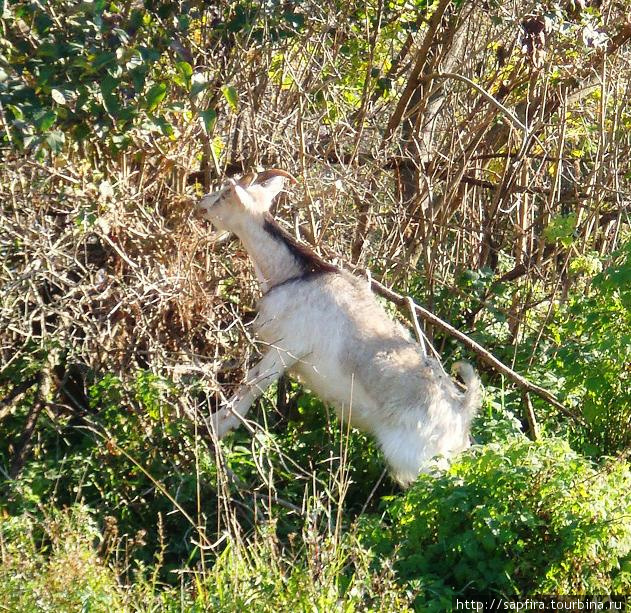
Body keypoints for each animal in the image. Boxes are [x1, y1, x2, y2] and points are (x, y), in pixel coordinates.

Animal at [200, 170, 482, 486]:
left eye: (225, 193)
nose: (201, 204)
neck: (297, 276)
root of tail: (461, 411)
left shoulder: (286, 349)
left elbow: (251, 386)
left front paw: (214, 427)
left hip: (423, 465)